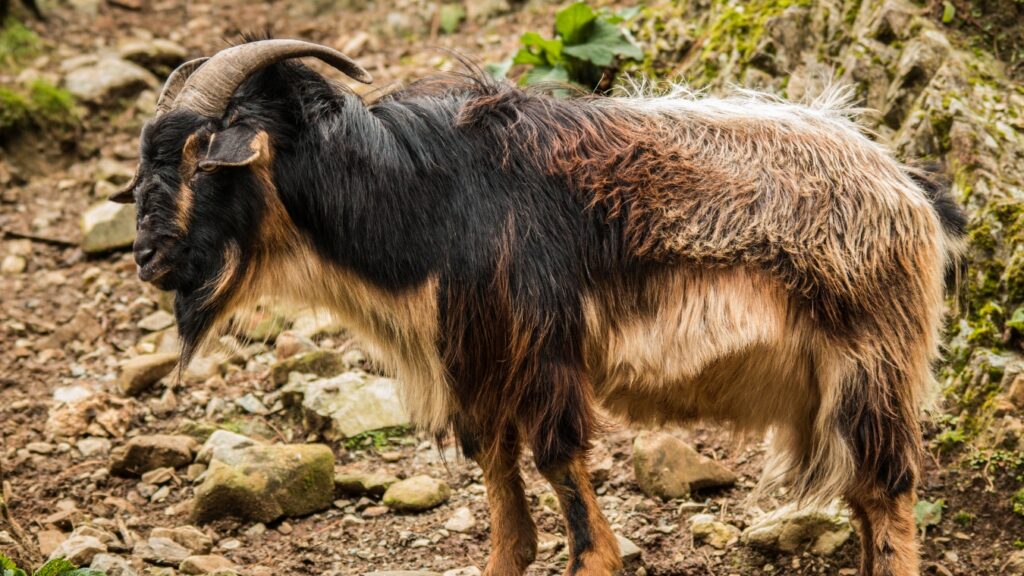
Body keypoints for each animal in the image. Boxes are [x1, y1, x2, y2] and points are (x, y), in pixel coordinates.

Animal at [114, 39, 966, 573]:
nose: (147, 257)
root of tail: (910, 189)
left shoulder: (541, 350)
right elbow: (499, 488)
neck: (427, 197)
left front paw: (595, 555)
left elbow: (563, 475)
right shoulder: (476, 362)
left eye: (201, 158)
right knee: (867, 504)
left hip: (871, 369)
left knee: (891, 498)